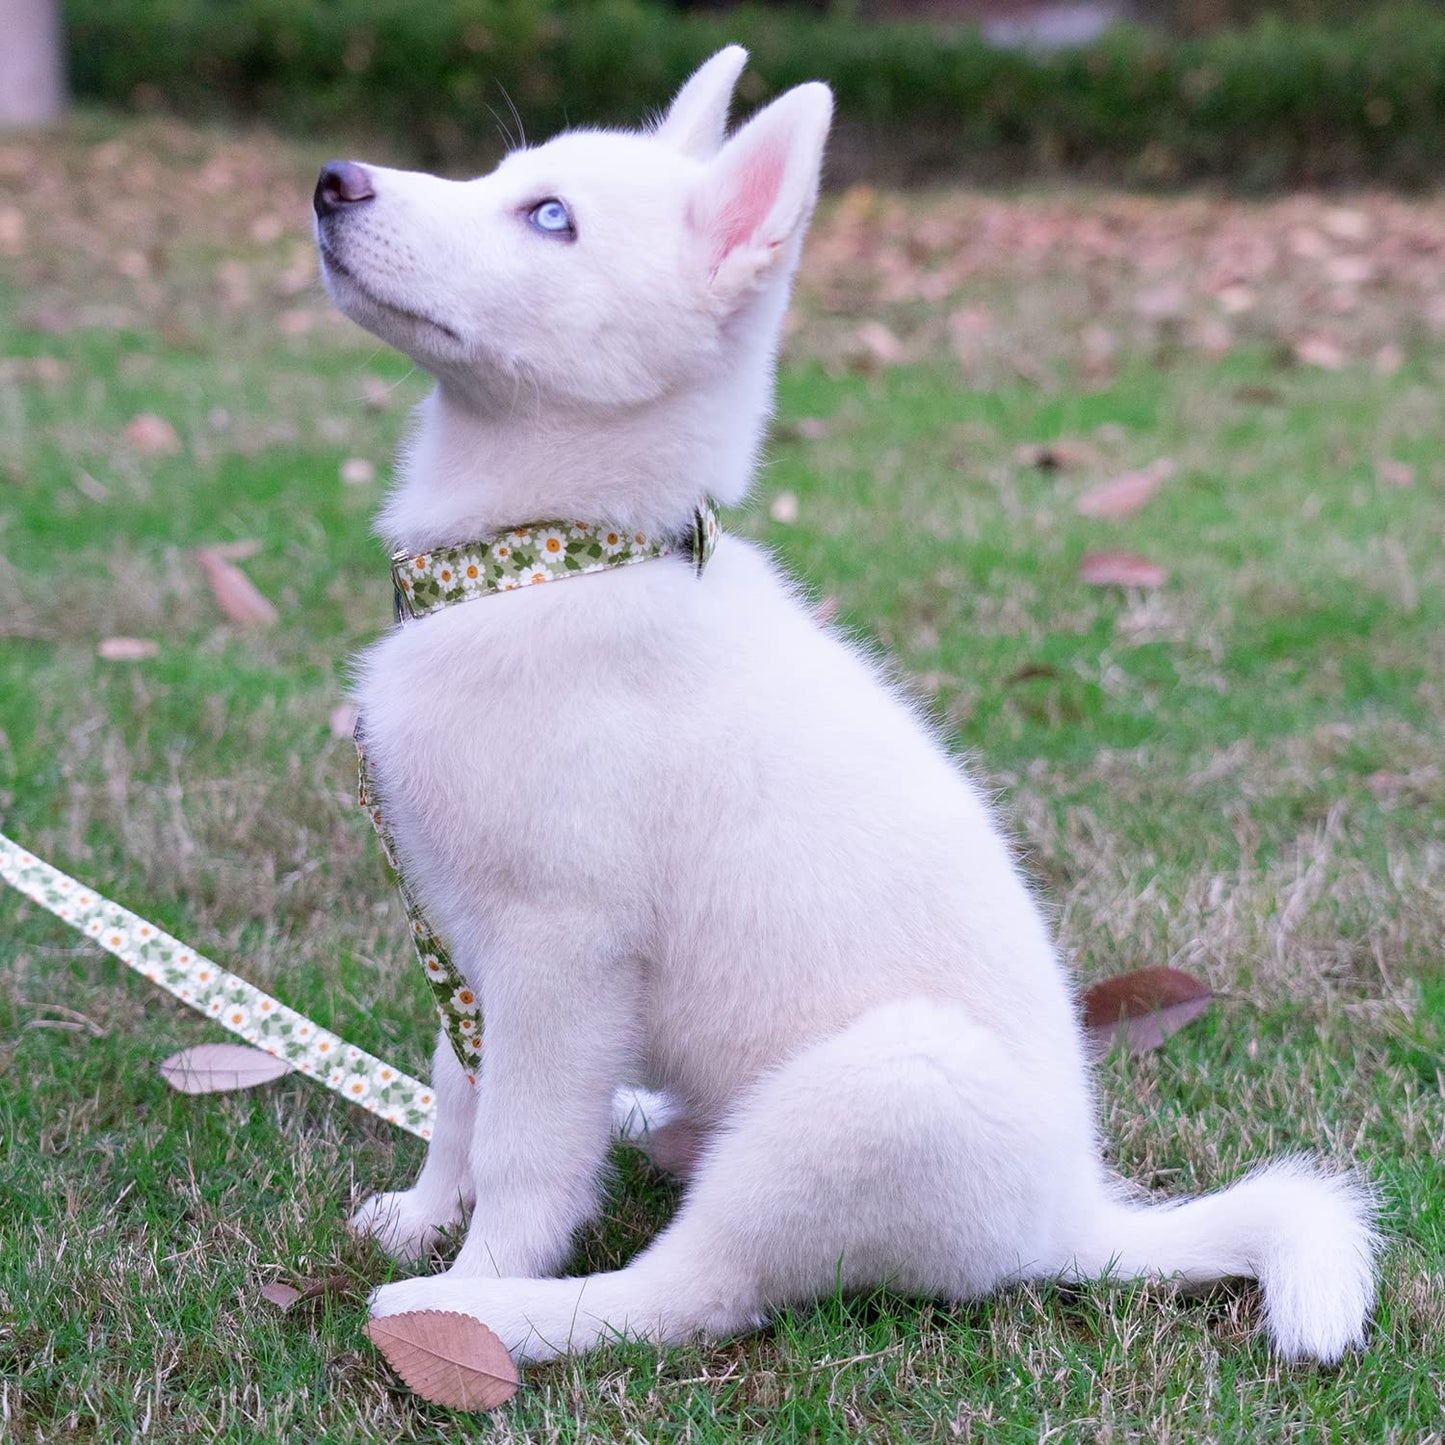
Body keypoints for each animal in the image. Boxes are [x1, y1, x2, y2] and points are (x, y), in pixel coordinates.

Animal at [313, 48, 1375, 1364]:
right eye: (500, 174)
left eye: (549, 216)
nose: (333, 180)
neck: (551, 561)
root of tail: (1069, 1216)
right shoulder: (463, 934)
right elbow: (460, 1090)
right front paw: (421, 1211)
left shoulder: (560, 944)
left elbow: (523, 1147)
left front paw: (474, 1268)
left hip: (862, 1093)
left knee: (693, 1292)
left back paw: (494, 1316)